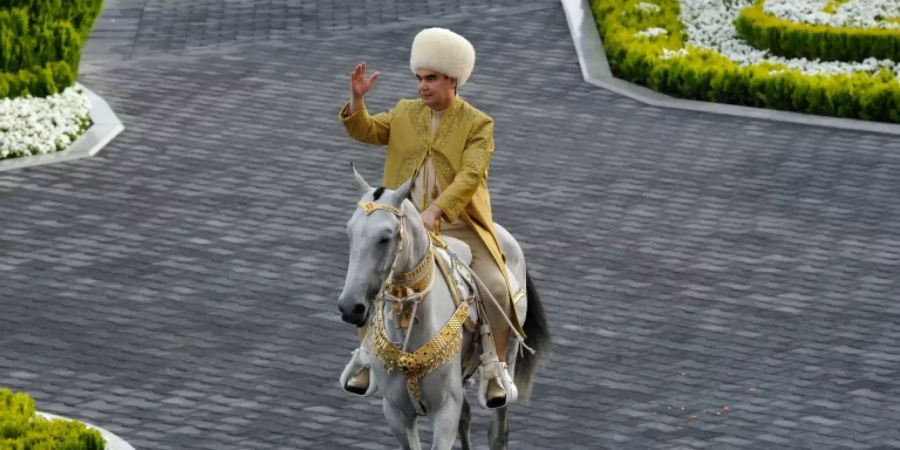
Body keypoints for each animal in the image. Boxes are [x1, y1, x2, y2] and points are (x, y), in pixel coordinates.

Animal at [338, 168, 548, 450]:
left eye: (385, 237)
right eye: (349, 233)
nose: (350, 307)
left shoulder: (445, 410)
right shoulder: (396, 413)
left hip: (507, 363)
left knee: (498, 429)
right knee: (466, 416)